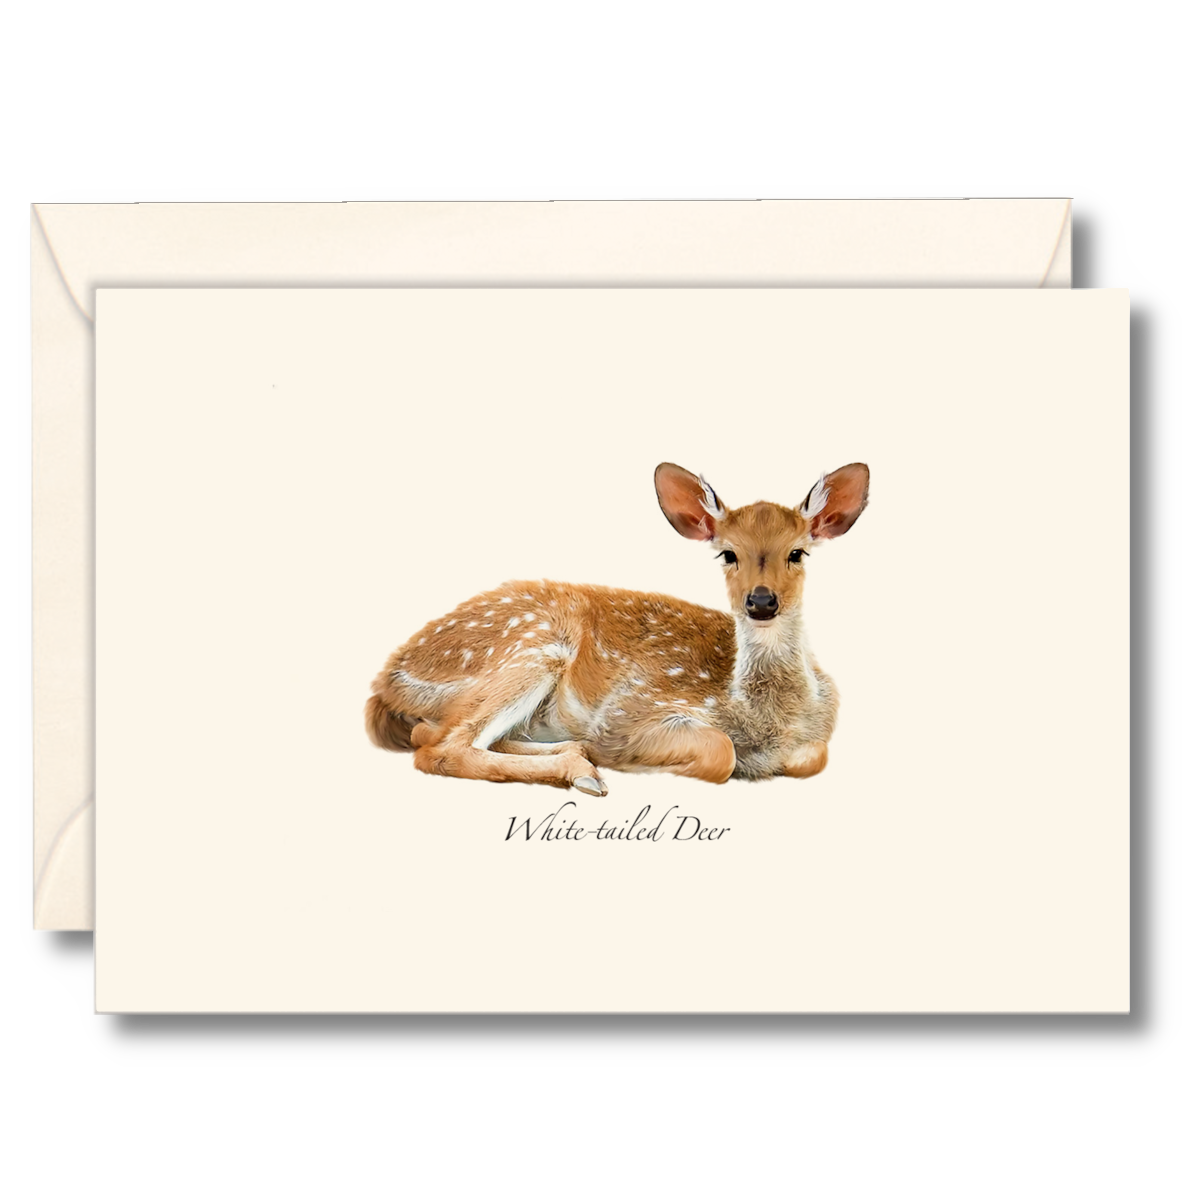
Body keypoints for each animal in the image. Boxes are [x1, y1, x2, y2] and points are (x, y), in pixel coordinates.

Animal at [365, 462, 869, 795]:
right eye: (727, 553)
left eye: (798, 552)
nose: (761, 601)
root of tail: (386, 681)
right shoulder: (632, 708)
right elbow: (720, 754)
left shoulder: (816, 738)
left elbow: (812, 757)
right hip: (529, 648)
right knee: (439, 747)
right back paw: (584, 773)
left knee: (433, 736)